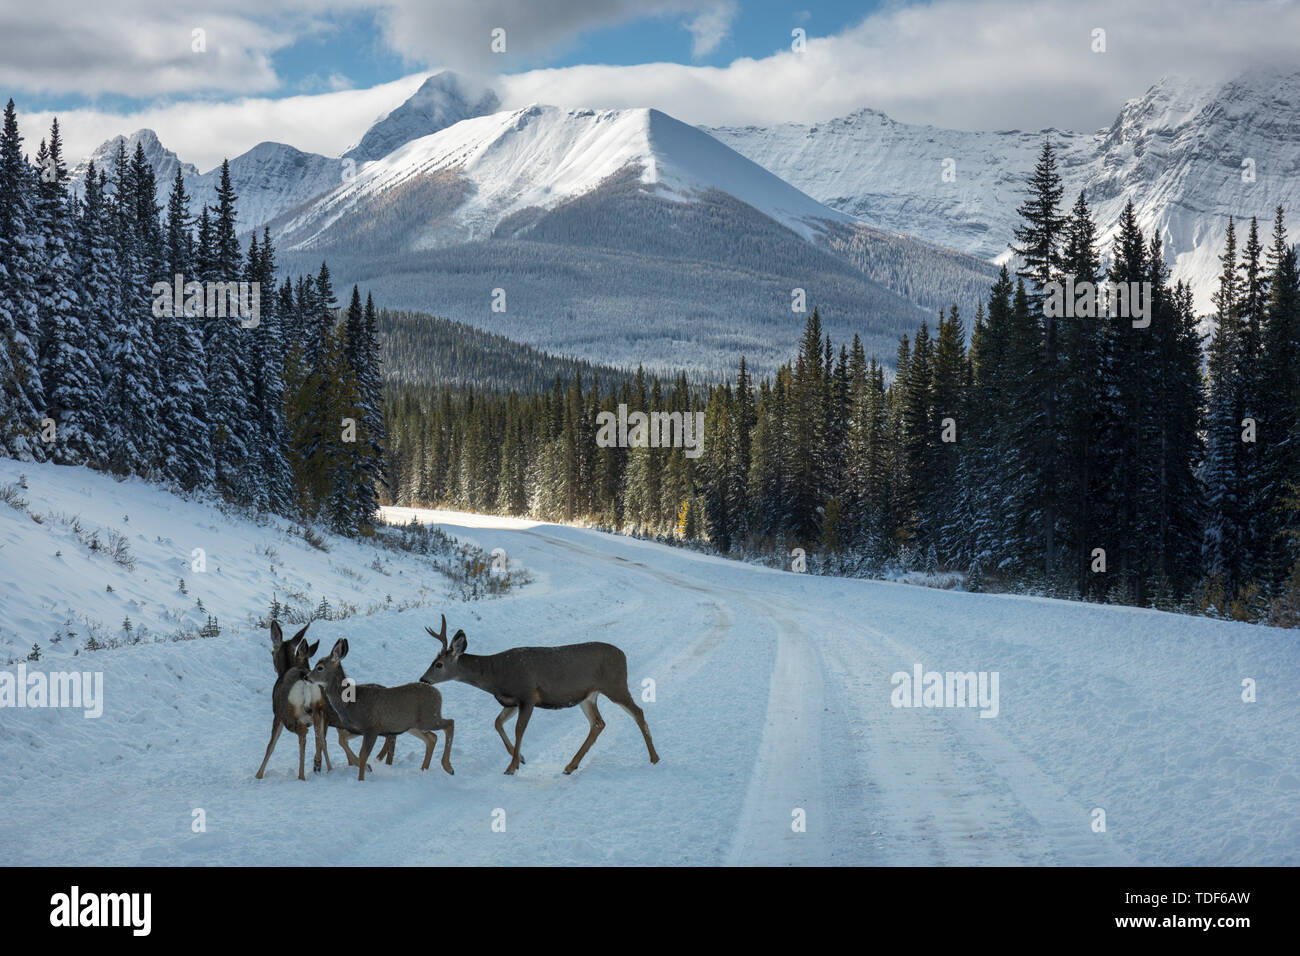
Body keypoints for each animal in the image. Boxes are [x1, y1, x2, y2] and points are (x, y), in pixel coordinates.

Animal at [254, 624, 330, 780]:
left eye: (272, 652)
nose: (274, 666)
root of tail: (304, 680)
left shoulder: (277, 714)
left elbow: (271, 745)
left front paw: (258, 774)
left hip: (288, 714)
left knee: (303, 733)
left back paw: (301, 775)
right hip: (320, 710)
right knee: (321, 737)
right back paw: (326, 767)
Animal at [306, 634, 454, 780]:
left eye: (320, 667)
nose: (307, 676)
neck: (350, 702)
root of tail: (439, 694)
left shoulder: (372, 727)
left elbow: (363, 754)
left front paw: (361, 779)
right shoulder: (358, 729)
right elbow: (347, 744)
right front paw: (367, 769)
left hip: (429, 718)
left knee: (449, 723)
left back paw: (448, 767)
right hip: (413, 725)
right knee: (432, 738)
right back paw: (425, 769)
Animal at [418, 613, 660, 780]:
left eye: (438, 664)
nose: (423, 679)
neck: (496, 674)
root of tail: (623, 655)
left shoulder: (528, 695)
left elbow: (519, 729)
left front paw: (511, 767)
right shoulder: (511, 701)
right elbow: (497, 723)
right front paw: (521, 759)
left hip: (615, 685)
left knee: (638, 712)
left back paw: (654, 758)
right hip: (588, 696)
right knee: (598, 723)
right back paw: (570, 766)